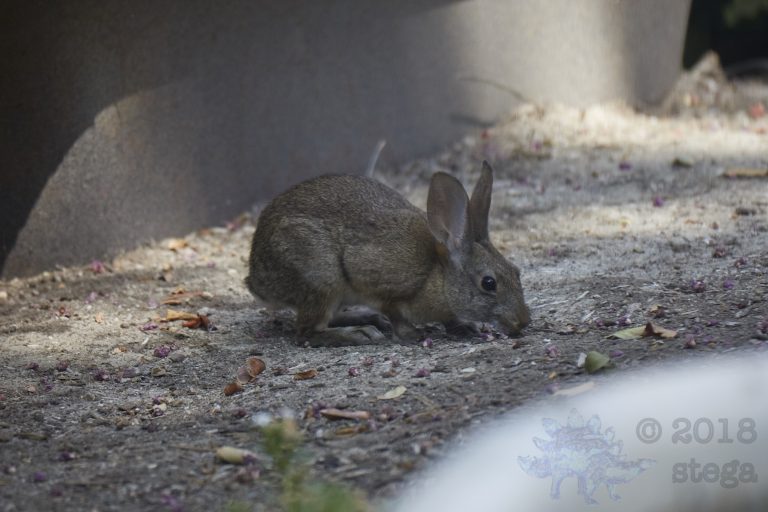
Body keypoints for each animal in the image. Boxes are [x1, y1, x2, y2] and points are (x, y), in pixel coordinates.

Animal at [246, 161, 529, 346]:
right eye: (489, 283)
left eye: (516, 272)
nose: (523, 321)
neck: (438, 275)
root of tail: (256, 280)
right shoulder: (381, 284)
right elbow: (395, 312)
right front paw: (413, 335)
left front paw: (465, 327)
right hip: (322, 278)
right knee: (307, 332)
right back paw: (361, 334)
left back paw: (369, 320)